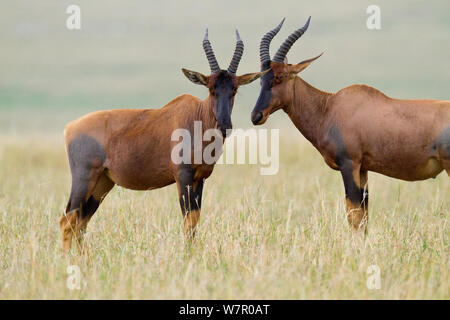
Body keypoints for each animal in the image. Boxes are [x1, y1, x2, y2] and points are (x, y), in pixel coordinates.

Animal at [59, 28, 264, 251]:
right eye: (211, 88)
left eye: (234, 89)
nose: (225, 126)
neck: (197, 116)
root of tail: (70, 128)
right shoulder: (183, 175)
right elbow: (188, 220)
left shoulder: (200, 178)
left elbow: (195, 219)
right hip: (84, 178)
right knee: (67, 220)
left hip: (102, 183)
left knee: (80, 222)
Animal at [251, 17, 448, 231]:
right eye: (261, 78)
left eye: (279, 76)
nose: (256, 116)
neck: (329, 107)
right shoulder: (363, 169)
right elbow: (363, 214)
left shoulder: (349, 164)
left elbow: (353, 214)